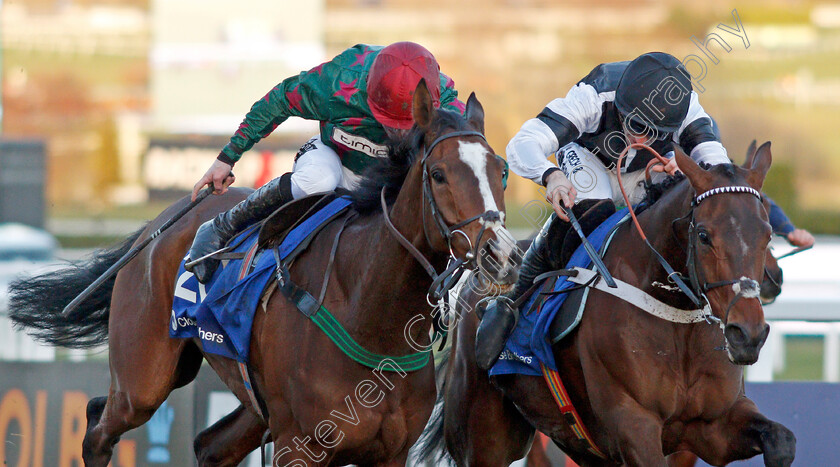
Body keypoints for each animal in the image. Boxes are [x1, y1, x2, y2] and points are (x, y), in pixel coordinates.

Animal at [8, 82, 520, 466]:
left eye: (501, 170)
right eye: (438, 174)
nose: (501, 254)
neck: (370, 311)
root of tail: (153, 229)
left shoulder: (391, 451)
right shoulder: (299, 446)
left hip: (253, 403)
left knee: (208, 446)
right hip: (143, 378)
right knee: (99, 425)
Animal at [420, 143, 796, 467]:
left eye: (767, 234)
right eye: (704, 235)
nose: (748, 333)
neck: (676, 318)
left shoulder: (711, 427)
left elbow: (782, 441)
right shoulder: (633, 425)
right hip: (485, 437)